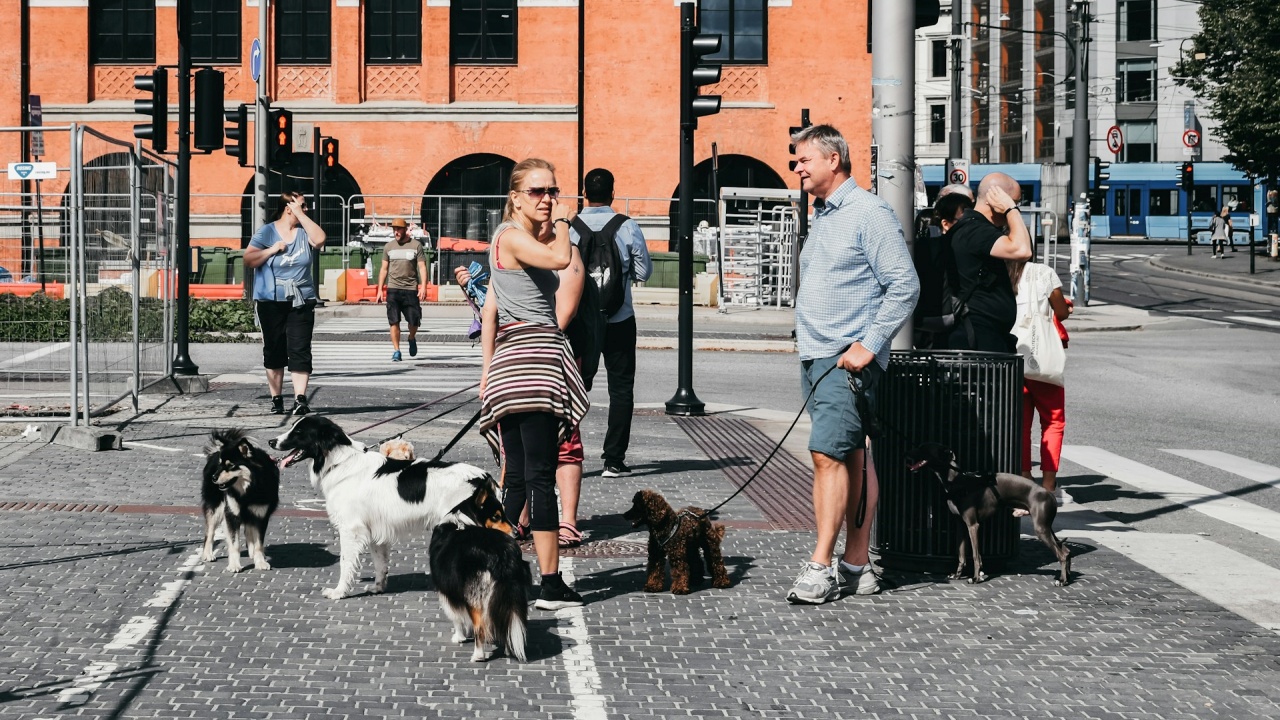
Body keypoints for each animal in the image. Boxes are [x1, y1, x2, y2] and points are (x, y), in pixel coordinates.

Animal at [199, 425, 280, 571]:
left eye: (231, 465)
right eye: (220, 464)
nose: (214, 477)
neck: (249, 489)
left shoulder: (260, 515)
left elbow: (258, 543)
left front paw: (260, 561)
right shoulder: (232, 514)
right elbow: (234, 543)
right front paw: (234, 565)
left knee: (248, 531)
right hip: (216, 507)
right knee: (210, 532)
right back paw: (207, 554)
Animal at [268, 412, 509, 597]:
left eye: (299, 432)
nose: (271, 442)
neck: (340, 462)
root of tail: (483, 477)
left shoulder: (351, 529)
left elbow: (346, 563)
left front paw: (339, 592)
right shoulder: (375, 530)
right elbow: (380, 563)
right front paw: (378, 587)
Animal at [430, 517, 529, 661]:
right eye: (498, 517)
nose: (516, 531)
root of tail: (502, 556)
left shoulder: (448, 592)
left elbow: (456, 617)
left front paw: (458, 637)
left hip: (475, 597)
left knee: (480, 627)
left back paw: (478, 655)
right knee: (506, 619)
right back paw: (508, 649)